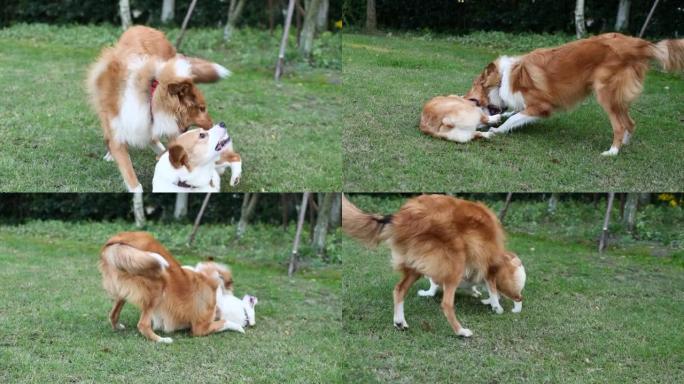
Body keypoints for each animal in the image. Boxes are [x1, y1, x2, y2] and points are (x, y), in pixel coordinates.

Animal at [85, 26, 230, 191]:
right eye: (201, 108)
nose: (215, 125)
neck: (150, 96)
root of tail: (144, 27)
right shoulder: (119, 127)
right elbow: (131, 176)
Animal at [98, 231, 232, 342]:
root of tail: (118, 239)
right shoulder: (201, 327)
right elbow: (225, 321)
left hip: (124, 289)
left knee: (113, 314)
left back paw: (118, 326)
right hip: (158, 286)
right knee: (143, 324)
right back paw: (162, 340)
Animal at [340, 195, 524, 336]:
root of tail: (402, 218)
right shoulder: (489, 266)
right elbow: (492, 288)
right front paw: (497, 306)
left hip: (416, 266)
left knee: (399, 289)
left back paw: (400, 321)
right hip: (455, 263)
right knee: (447, 304)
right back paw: (461, 332)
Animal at [464, 33, 684, 156]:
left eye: (473, 97)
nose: (465, 100)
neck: (503, 78)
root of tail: (639, 44)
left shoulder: (541, 106)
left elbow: (514, 118)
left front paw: (495, 130)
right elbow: (512, 114)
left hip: (605, 93)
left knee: (620, 125)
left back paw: (612, 152)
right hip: (618, 98)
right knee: (630, 122)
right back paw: (624, 144)